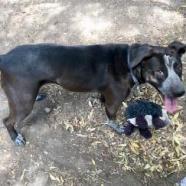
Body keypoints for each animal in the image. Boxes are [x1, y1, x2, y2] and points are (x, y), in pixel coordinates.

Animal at [0, 41, 185, 145]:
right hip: (24, 102)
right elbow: (111, 117)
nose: (181, 92)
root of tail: (5, 57)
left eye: (179, 67)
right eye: (159, 71)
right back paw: (15, 137)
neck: (129, 63)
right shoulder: (114, 102)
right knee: (7, 120)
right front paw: (117, 127)